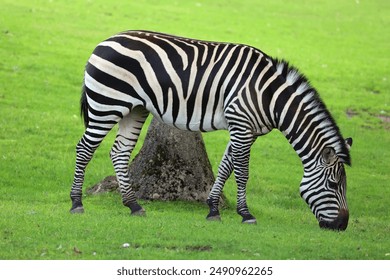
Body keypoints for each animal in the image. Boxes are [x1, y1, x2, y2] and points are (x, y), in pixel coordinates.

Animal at [70, 30, 354, 231]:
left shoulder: (245, 129)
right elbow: (242, 172)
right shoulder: (241, 125)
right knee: (84, 148)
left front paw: (213, 209)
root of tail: (104, 41)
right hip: (107, 104)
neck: (270, 97)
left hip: (135, 109)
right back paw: (76, 203)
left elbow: (226, 167)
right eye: (333, 184)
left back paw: (133, 205)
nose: (342, 226)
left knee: (119, 152)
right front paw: (246, 214)